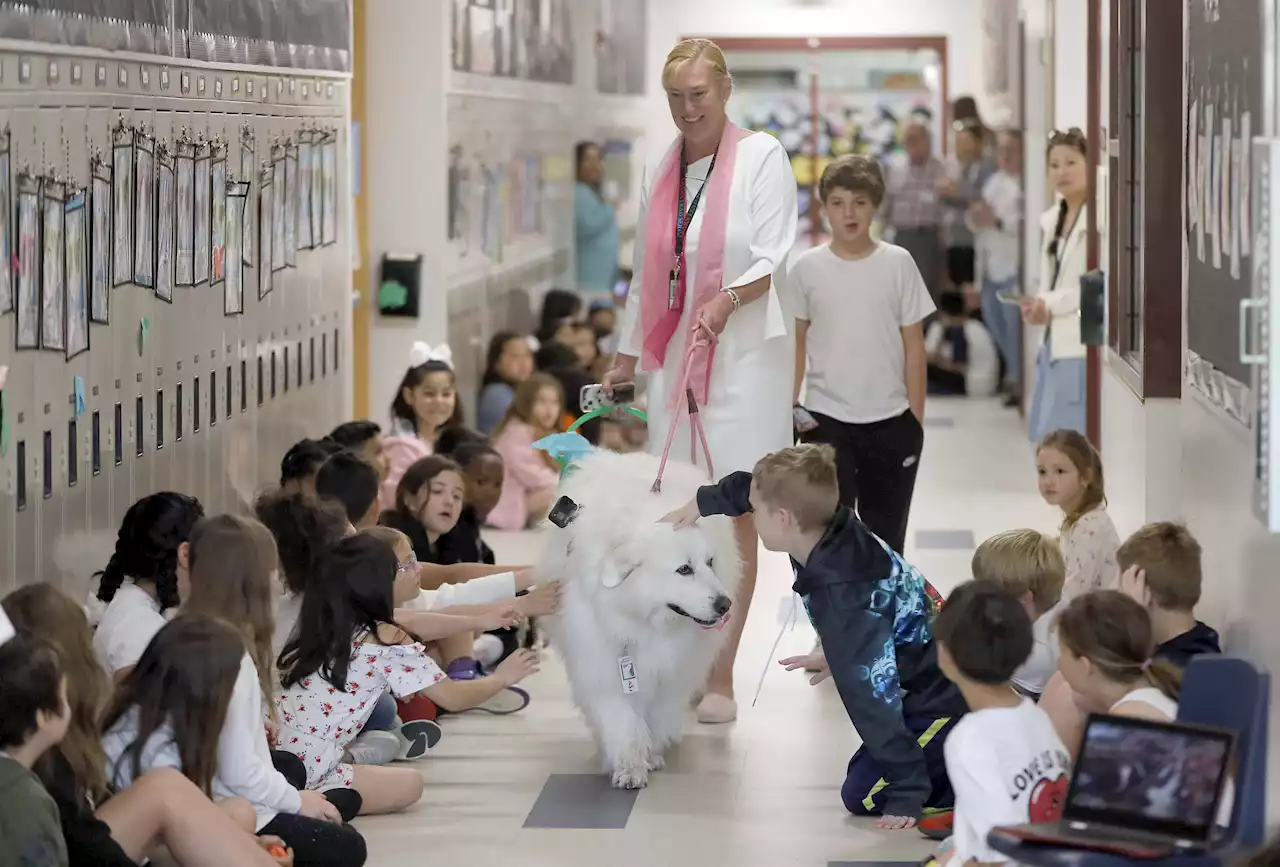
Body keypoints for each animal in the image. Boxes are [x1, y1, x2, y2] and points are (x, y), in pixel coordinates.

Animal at [537, 450, 742, 788]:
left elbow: (656, 714)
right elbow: (620, 719)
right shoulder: (601, 664)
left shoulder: (670, 671)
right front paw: (629, 766)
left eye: (710, 562)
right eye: (684, 569)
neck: (643, 619)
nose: (725, 605)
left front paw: (652, 754)